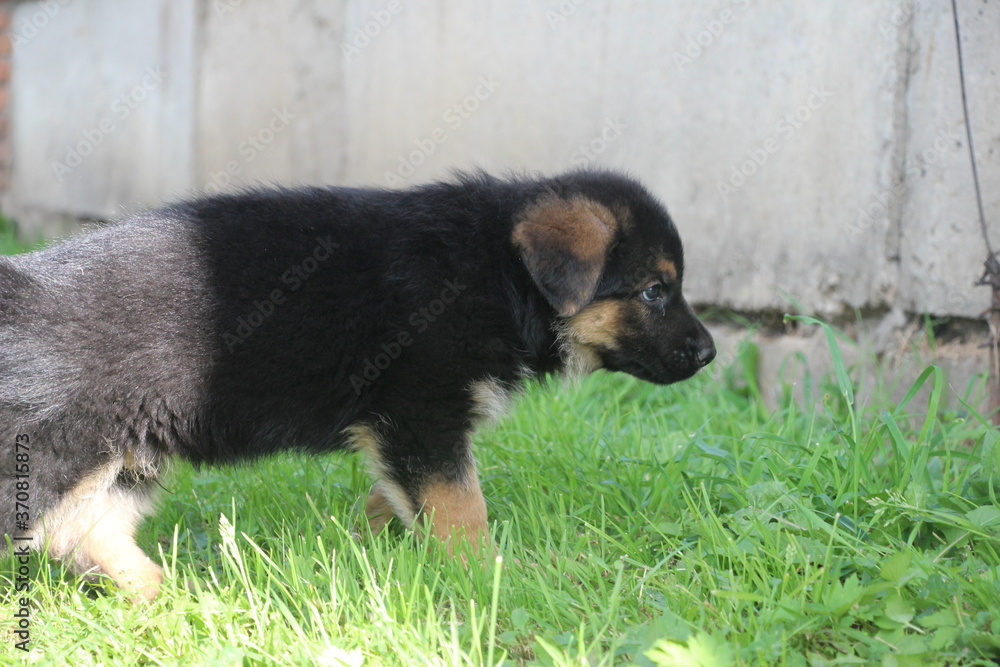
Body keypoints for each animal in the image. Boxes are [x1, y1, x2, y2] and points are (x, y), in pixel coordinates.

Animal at [1, 170, 720, 596]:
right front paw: (486, 576)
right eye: (655, 290)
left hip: (131, 450)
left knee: (81, 529)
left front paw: (369, 548)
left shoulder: (406, 431)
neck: (498, 272)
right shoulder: (422, 410)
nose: (710, 352)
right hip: (63, 446)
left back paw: (170, 595)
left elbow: (406, 496)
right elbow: (462, 505)